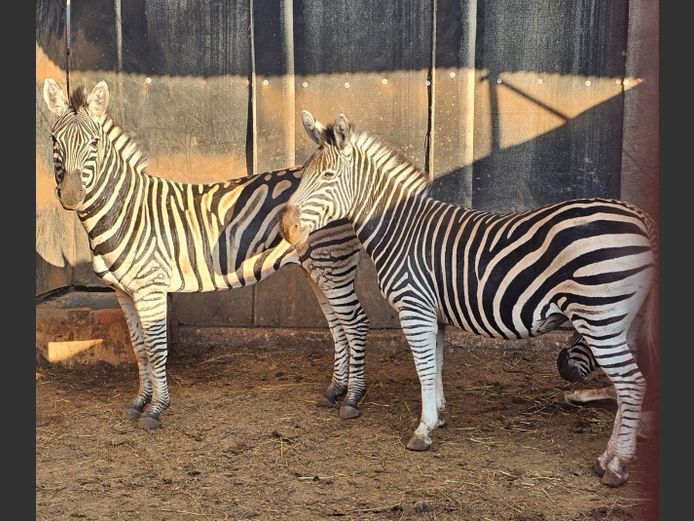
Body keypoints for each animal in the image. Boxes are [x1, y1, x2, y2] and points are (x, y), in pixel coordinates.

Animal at [41, 79, 371, 430]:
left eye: (93, 143)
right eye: (53, 140)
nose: (71, 196)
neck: (126, 209)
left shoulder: (150, 288)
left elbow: (156, 350)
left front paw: (156, 408)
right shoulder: (123, 292)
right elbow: (139, 349)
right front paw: (139, 402)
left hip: (332, 262)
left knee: (356, 323)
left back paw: (352, 398)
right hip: (317, 269)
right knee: (339, 327)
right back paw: (334, 392)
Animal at [279, 112, 658, 487]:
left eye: (328, 176)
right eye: (304, 174)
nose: (286, 229)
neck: (399, 228)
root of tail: (639, 216)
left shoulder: (414, 307)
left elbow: (423, 367)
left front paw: (423, 430)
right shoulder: (434, 313)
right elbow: (436, 364)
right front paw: (439, 416)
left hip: (599, 316)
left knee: (631, 384)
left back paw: (617, 466)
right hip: (617, 321)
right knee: (625, 386)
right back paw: (606, 459)